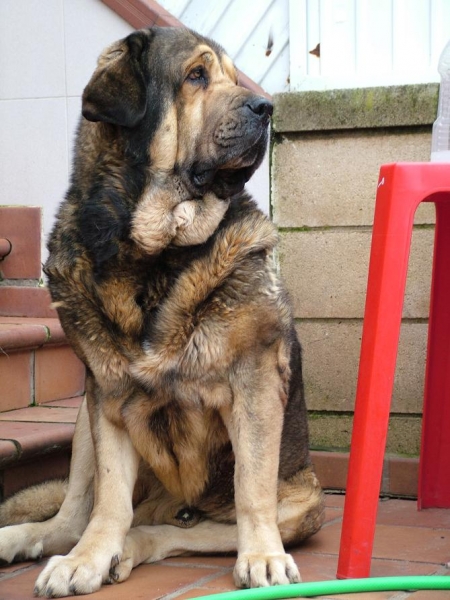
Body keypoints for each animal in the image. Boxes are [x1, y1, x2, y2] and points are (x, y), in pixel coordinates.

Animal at [0, 27, 324, 596]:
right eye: (196, 76)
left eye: (232, 78)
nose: (266, 107)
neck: (156, 253)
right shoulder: (107, 395)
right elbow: (108, 499)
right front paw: (87, 559)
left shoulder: (256, 382)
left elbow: (251, 489)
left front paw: (263, 557)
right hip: (83, 422)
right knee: (74, 515)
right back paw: (38, 539)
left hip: (302, 506)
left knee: (176, 527)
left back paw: (132, 549)